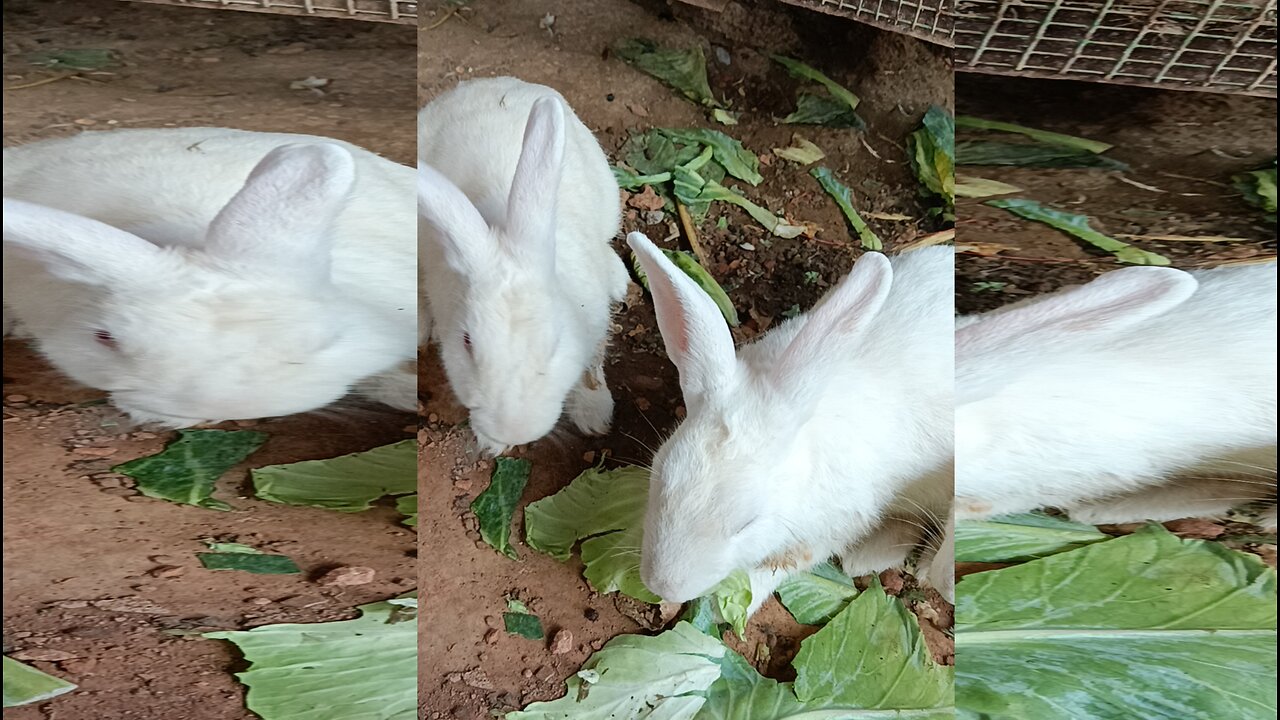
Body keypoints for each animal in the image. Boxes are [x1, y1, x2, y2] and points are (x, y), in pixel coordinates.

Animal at [419, 78, 629, 450]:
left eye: (556, 340)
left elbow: (592, 367)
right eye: (467, 342)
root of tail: (492, 82)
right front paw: (492, 443)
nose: (514, 431)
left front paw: (595, 416)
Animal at [629, 230, 952, 609]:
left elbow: (781, 565)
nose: (664, 587)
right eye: (659, 476)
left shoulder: (829, 529)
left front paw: (737, 603)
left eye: (747, 523)